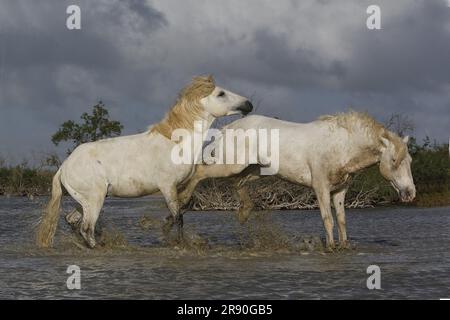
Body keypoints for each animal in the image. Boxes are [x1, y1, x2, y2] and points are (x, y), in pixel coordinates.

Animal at [35, 75, 253, 248]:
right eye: (221, 94)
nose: (248, 104)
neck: (175, 143)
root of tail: (64, 167)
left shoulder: (179, 186)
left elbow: (183, 208)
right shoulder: (167, 187)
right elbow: (178, 217)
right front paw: (179, 243)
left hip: (83, 200)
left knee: (72, 220)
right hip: (94, 199)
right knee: (86, 228)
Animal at [178, 112, 416, 250]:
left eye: (410, 160)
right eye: (394, 160)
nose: (410, 193)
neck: (342, 146)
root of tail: (229, 128)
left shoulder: (340, 190)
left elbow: (341, 219)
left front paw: (344, 245)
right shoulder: (321, 187)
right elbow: (328, 218)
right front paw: (330, 247)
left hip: (255, 169)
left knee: (237, 184)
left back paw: (244, 213)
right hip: (231, 164)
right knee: (200, 172)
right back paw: (181, 203)